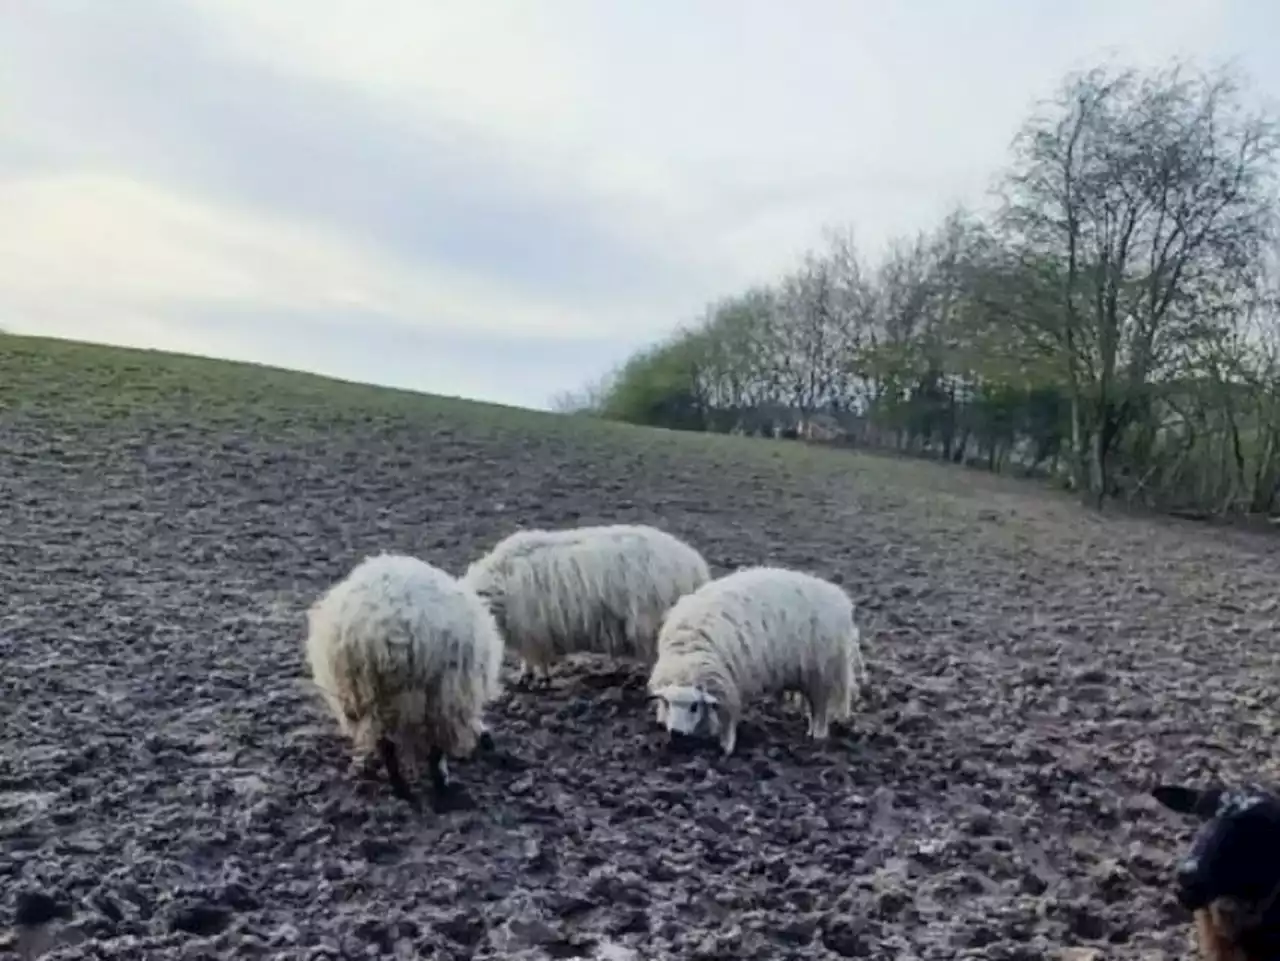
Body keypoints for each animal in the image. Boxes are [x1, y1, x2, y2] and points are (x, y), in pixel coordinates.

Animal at [304, 547, 504, 813]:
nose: (488, 742)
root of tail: (381, 631)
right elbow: (436, 750)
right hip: (434, 693)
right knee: (429, 746)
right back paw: (439, 791)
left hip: (368, 695)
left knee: (385, 744)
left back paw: (401, 791)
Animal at [465, 527, 716, 690]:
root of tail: (696, 566)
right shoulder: (526, 633)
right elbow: (527, 659)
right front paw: (524, 676)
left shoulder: (534, 631)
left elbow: (539, 659)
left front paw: (541, 680)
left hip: (652, 624)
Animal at [645, 563, 865, 757]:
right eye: (668, 704)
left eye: (693, 706)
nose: (676, 734)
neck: (689, 652)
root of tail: (837, 598)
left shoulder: (730, 685)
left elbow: (728, 719)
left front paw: (726, 747)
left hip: (822, 672)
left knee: (820, 707)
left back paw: (818, 736)